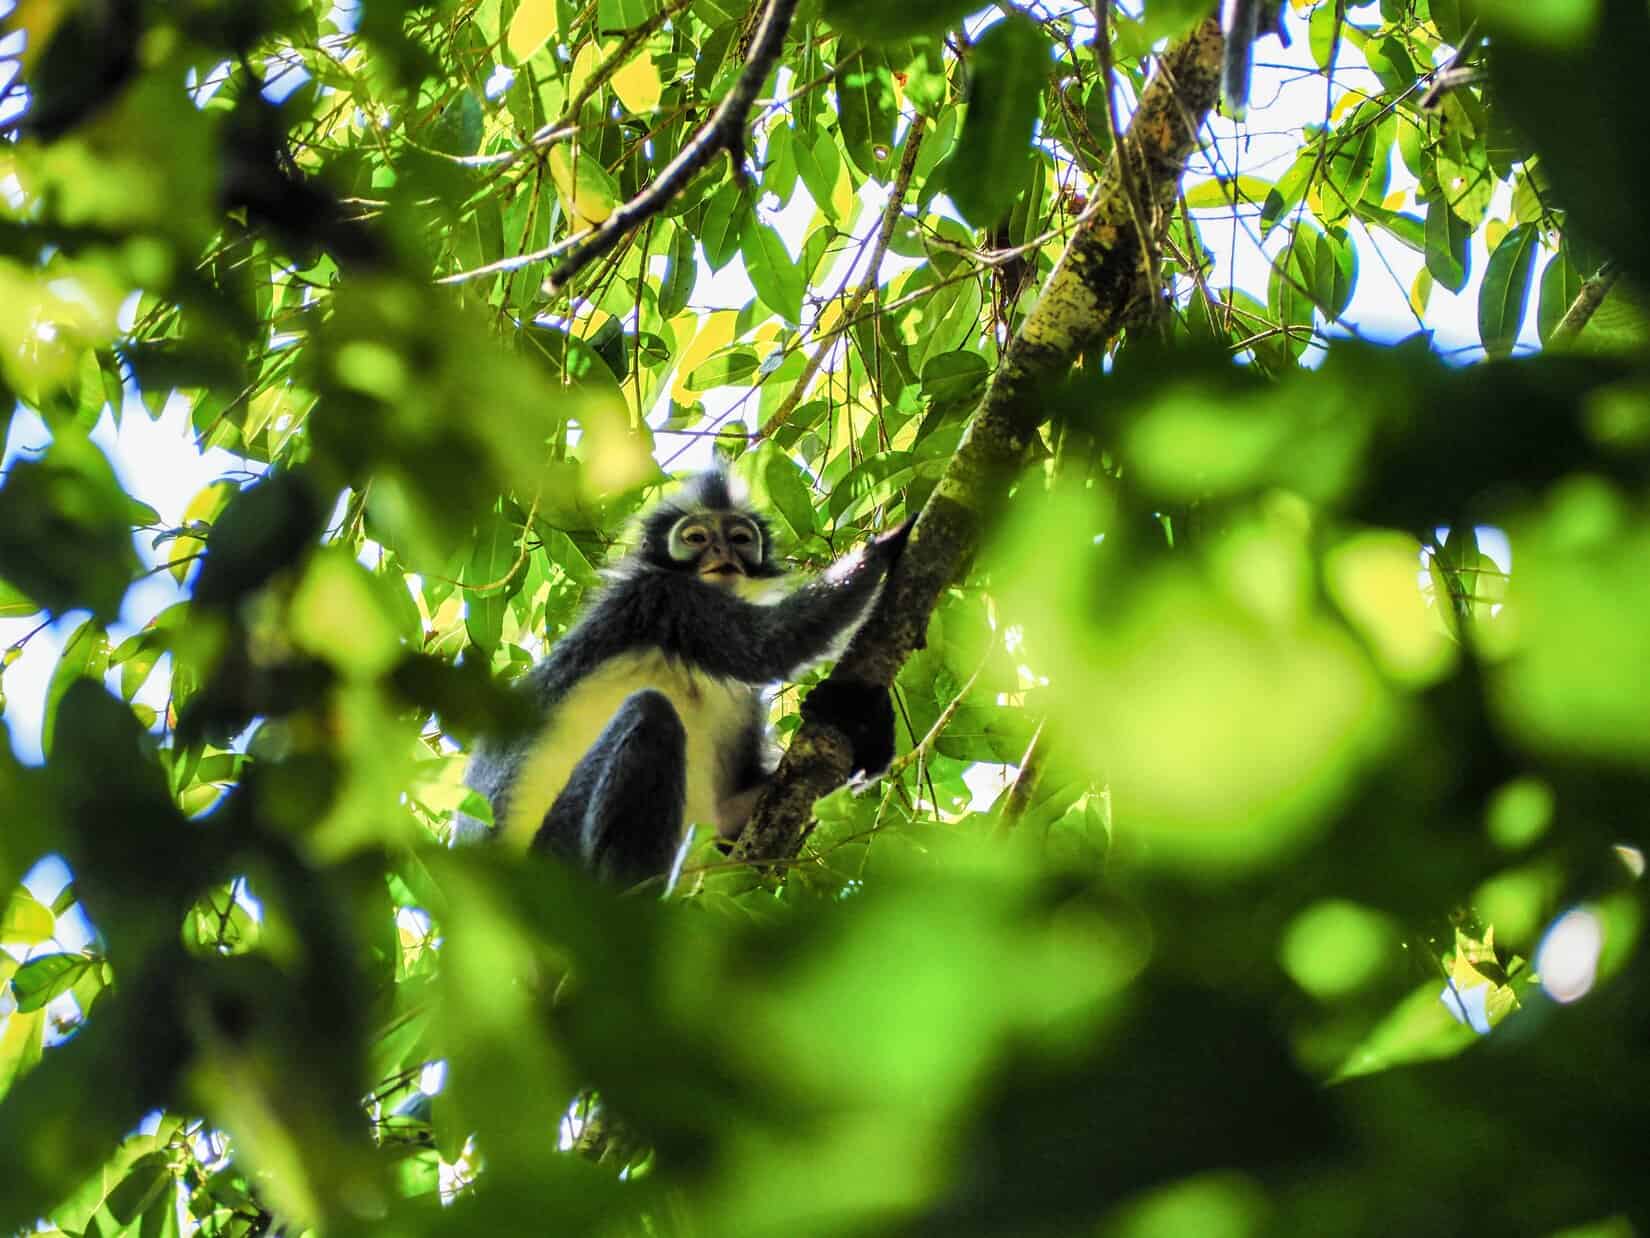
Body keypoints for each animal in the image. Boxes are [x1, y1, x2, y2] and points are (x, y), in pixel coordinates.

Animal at [455, 470, 909, 887]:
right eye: (695, 538)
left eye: (740, 538)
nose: (722, 549)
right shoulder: (664, 595)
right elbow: (771, 644)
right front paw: (890, 541)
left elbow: (743, 818)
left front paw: (861, 725)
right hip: (551, 859)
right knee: (650, 713)